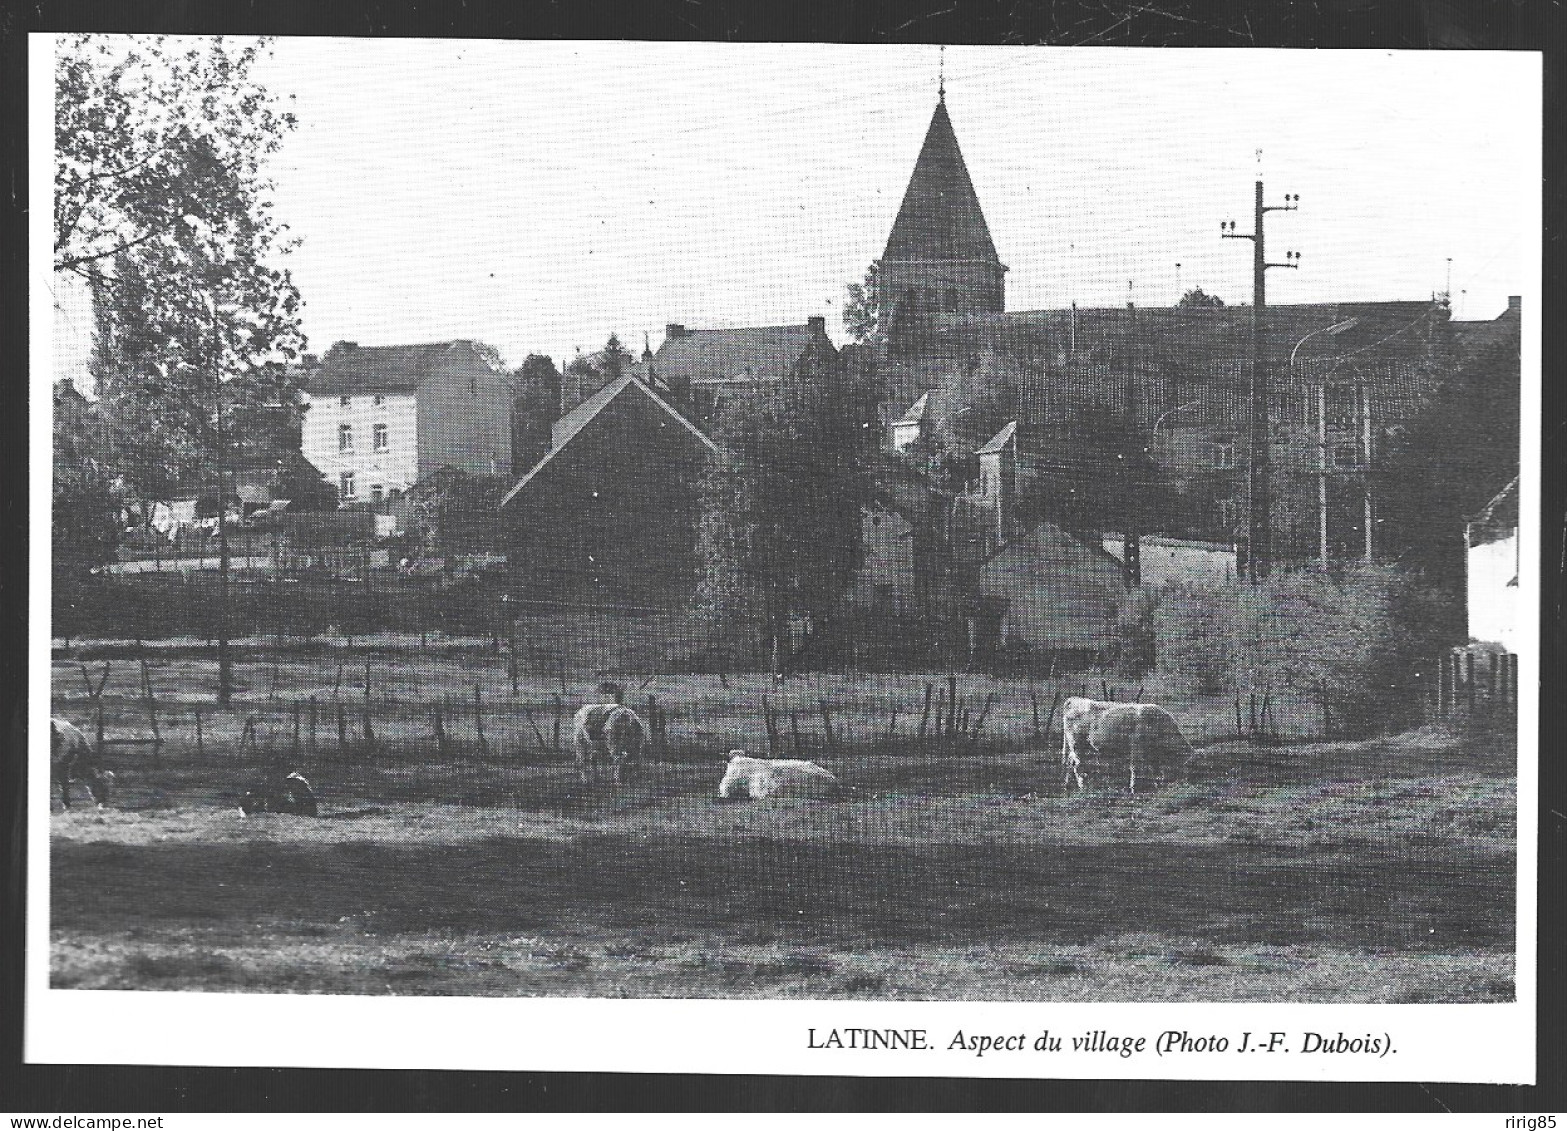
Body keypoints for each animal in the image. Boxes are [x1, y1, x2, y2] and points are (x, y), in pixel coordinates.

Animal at [1059, 695, 1190, 792]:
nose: (1185, 785)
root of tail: (1073, 699)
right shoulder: (1136, 747)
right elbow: (1135, 768)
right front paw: (1133, 788)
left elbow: (1155, 769)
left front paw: (1157, 784)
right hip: (1077, 744)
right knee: (1077, 765)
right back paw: (1083, 786)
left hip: (1073, 746)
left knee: (1070, 762)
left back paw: (1066, 785)